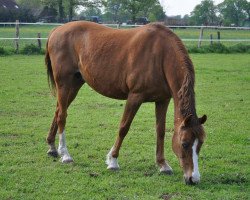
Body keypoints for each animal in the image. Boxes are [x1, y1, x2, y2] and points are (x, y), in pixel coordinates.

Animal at [45, 21, 207, 184]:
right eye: (184, 143)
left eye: (200, 143)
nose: (193, 178)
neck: (160, 55)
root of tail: (57, 29)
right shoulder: (135, 97)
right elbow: (124, 127)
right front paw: (113, 161)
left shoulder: (163, 100)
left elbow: (160, 131)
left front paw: (162, 164)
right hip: (64, 84)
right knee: (62, 116)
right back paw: (65, 154)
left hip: (75, 84)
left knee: (58, 111)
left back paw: (52, 147)